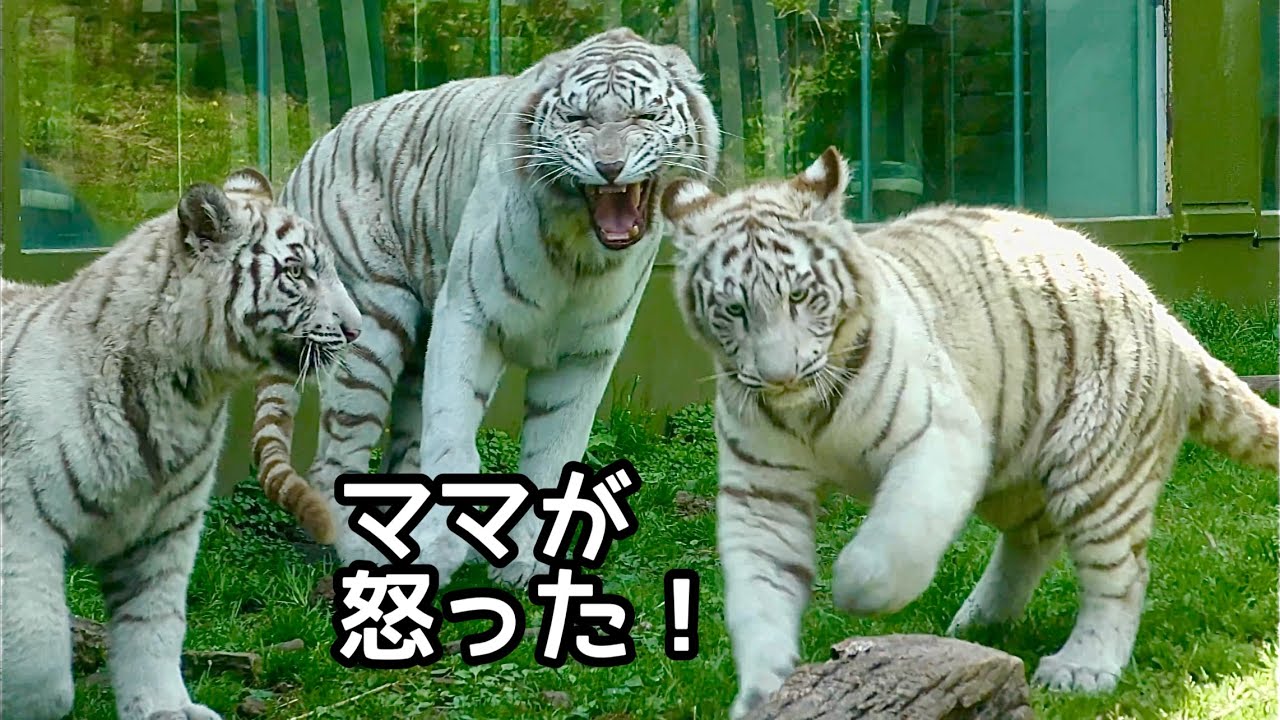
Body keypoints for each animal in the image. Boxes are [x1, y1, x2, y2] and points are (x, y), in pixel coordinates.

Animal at [0, 169, 361, 720]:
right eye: (297, 272)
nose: (355, 329)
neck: (187, 397)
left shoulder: (166, 530)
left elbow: (155, 626)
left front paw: (163, 707)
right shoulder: (20, 526)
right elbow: (39, 662)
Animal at [248, 26, 721, 586]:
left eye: (644, 116)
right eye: (577, 119)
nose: (609, 167)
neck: (581, 257)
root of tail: (312, 151)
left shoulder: (586, 354)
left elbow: (553, 451)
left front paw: (530, 565)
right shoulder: (468, 318)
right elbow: (452, 437)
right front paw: (444, 546)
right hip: (372, 326)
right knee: (334, 460)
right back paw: (365, 558)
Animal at [659, 146, 1280, 718]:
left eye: (799, 295)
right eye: (734, 310)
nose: (779, 376)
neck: (805, 413)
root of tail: (1167, 319)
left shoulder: (941, 436)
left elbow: (892, 544)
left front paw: (853, 594)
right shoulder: (762, 491)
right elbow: (759, 595)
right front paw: (762, 694)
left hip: (1096, 469)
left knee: (1121, 572)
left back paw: (1081, 666)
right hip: (1013, 468)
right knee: (1034, 538)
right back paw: (980, 620)